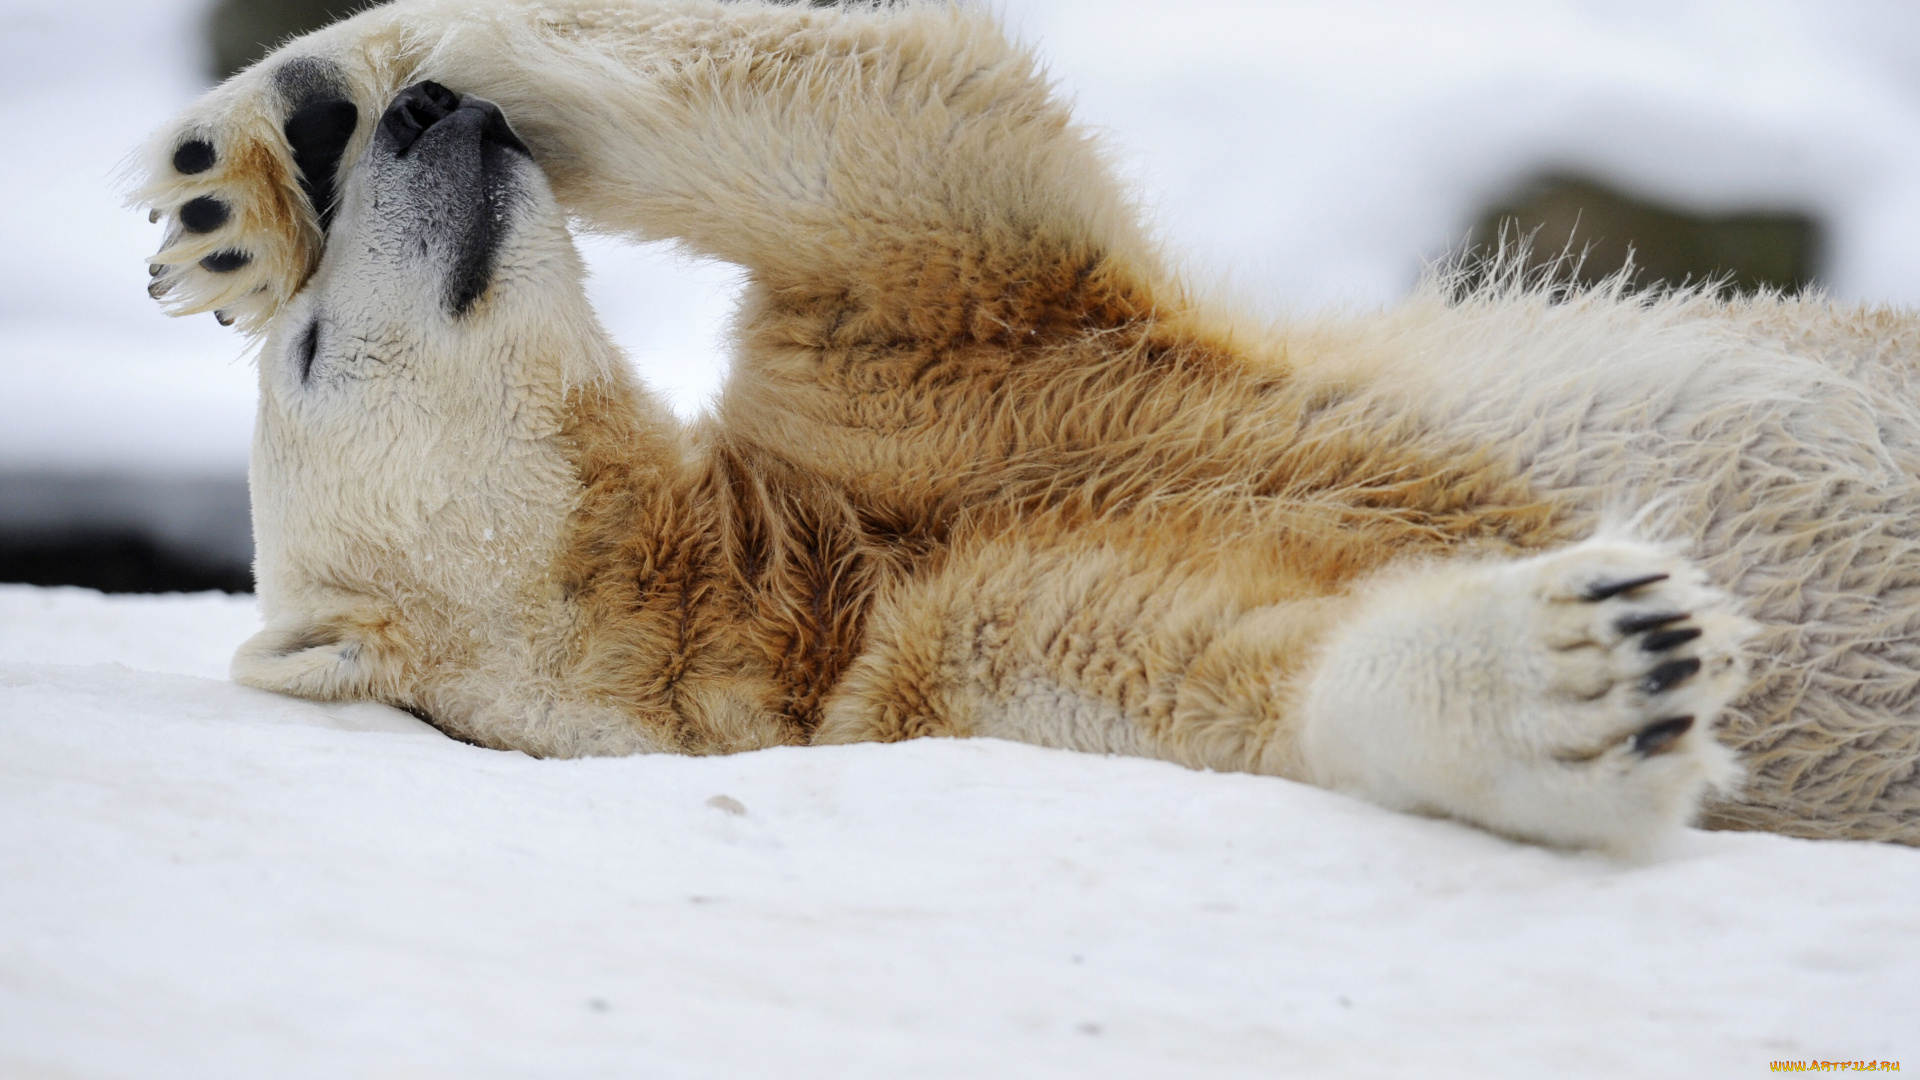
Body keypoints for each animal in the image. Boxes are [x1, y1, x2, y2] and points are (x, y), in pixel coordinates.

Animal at [132, 0, 1920, 851]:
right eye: (316, 358)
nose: (424, 130)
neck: (800, 576)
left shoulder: (935, 385)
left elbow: (901, 140)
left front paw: (256, 156)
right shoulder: (957, 668)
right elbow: (1253, 685)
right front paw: (1600, 661)